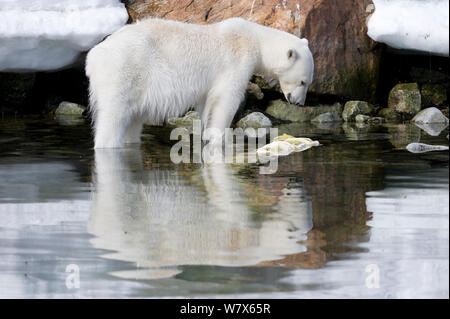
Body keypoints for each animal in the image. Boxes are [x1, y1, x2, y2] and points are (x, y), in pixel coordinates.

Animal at [86, 16, 314, 148]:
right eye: (303, 82)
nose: (299, 102)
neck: (254, 40)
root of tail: (94, 57)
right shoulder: (236, 61)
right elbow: (226, 100)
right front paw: (220, 139)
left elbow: (207, 105)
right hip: (125, 70)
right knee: (113, 116)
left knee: (133, 122)